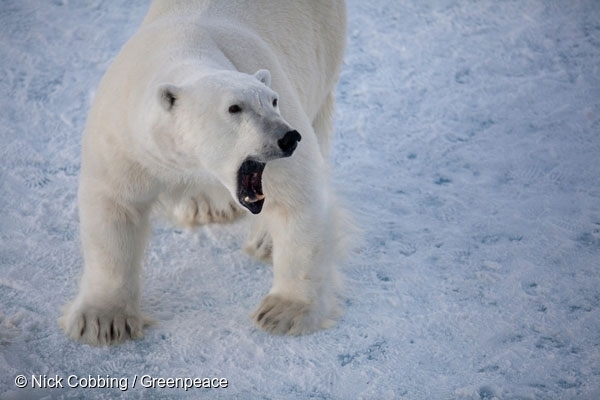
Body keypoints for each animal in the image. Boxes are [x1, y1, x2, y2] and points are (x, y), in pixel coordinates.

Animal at [59, 0, 346, 344]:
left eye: (273, 101)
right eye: (234, 108)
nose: (288, 137)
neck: (184, 47)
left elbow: (297, 199)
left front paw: (283, 312)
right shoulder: (125, 140)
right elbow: (114, 208)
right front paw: (102, 321)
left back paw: (265, 241)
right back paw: (204, 205)